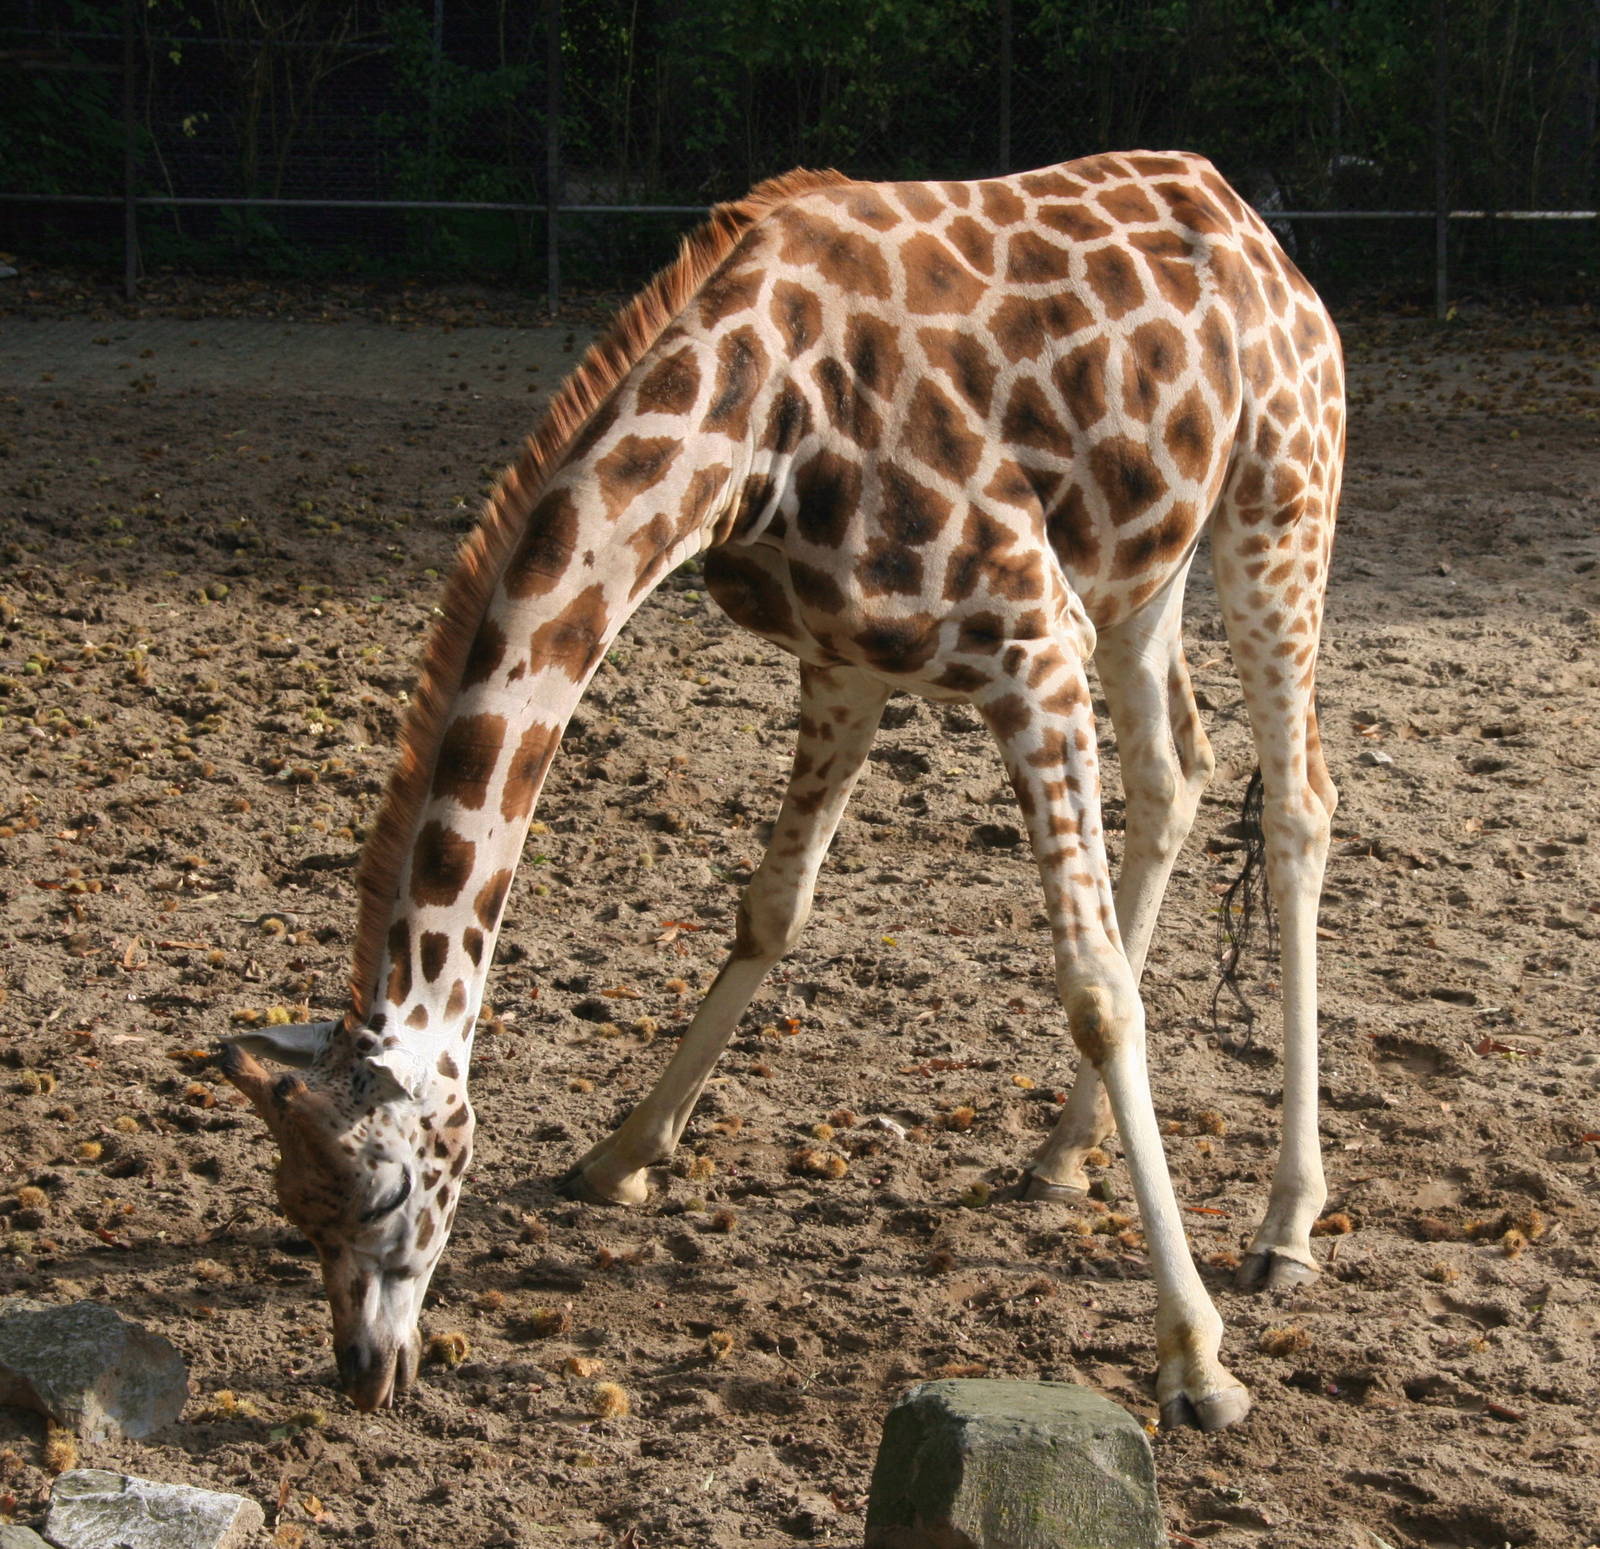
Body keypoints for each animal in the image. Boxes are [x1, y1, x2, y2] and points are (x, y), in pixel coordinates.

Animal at [219, 151, 1344, 1430]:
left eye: (377, 1191)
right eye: (287, 1204)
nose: (365, 1370)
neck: (746, 434)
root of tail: (1252, 228)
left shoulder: (1031, 638)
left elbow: (1097, 992)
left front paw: (1197, 1360)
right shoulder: (847, 661)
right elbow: (772, 905)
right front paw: (621, 1155)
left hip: (1277, 507)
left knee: (1299, 797)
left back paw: (1285, 1226)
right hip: (1144, 565)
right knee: (1175, 775)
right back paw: (1060, 1156)